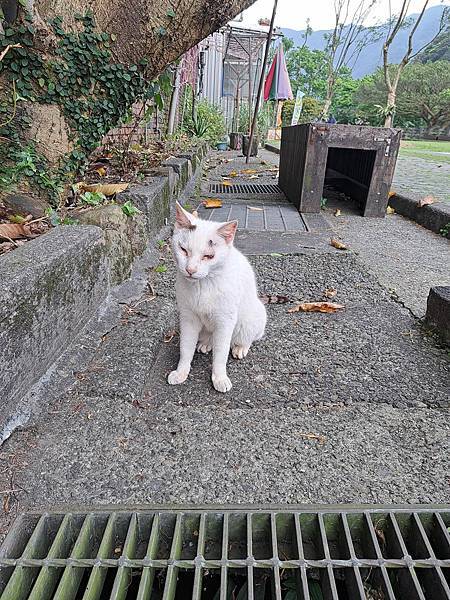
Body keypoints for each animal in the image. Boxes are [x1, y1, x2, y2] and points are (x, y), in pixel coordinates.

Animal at [169, 202, 268, 394]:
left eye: (209, 256)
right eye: (183, 250)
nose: (190, 270)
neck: (202, 286)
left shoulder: (225, 321)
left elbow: (221, 354)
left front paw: (220, 378)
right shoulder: (188, 318)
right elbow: (185, 348)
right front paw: (181, 372)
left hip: (250, 319)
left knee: (247, 338)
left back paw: (240, 348)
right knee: (209, 337)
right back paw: (206, 343)